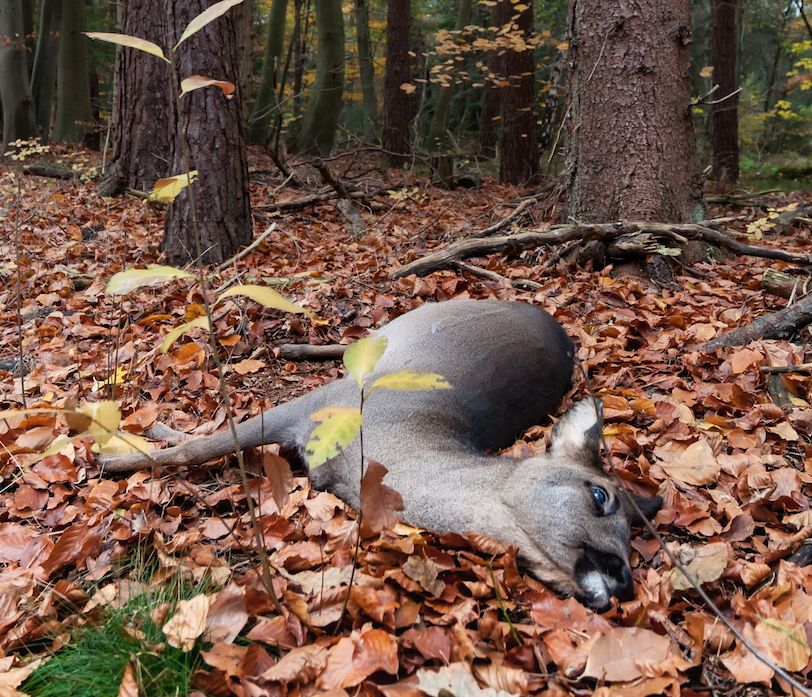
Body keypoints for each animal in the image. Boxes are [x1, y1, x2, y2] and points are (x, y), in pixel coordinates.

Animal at [101, 300, 660, 608]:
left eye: (635, 530)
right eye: (601, 496)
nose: (624, 580)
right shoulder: (319, 405)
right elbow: (206, 442)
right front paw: (116, 454)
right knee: (356, 342)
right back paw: (288, 347)